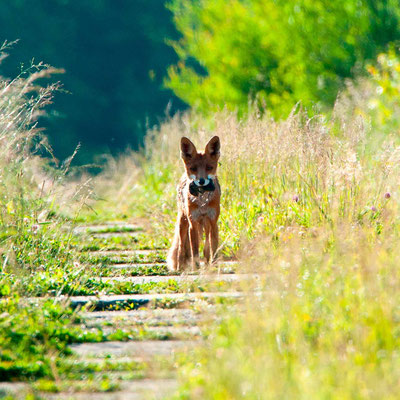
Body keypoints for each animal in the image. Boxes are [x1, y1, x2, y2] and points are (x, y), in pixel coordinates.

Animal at [167, 136, 220, 270]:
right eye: (193, 169)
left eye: (209, 167)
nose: (201, 181)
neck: (202, 202)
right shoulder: (193, 223)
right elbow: (194, 250)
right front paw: (196, 268)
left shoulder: (213, 222)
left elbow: (212, 247)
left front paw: (214, 264)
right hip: (183, 222)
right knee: (181, 248)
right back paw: (180, 267)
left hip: (208, 224)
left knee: (207, 246)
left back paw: (207, 263)